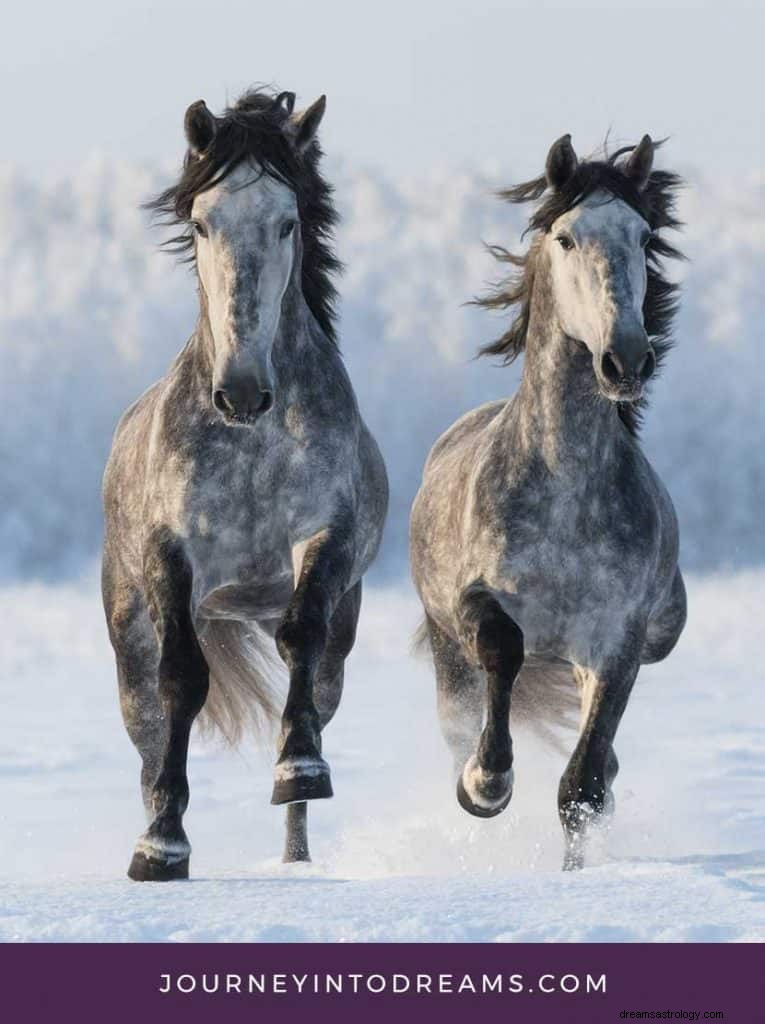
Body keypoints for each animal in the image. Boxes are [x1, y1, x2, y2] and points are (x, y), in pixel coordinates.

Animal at [102, 88, 389, 880]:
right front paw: (162, 848)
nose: (241, 392)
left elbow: (301, 637)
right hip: (128, 632)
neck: (251, 441)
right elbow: (181, 681)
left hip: (332, 635)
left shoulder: (324, 538)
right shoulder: (171, 555)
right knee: (146, 729)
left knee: (316, 685)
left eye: (287, 221)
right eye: (203, 222)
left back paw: (295, 855)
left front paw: (300, 769)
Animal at [413, 136, 688, 868]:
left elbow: (583, 785)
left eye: (643, 236)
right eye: (565, 237)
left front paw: (572, 874)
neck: (566, 496)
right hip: (446, 648)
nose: (626, 360)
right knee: (465, 714)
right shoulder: (476, 602)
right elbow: (503, 650)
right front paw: (485, 784)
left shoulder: (617, 641)